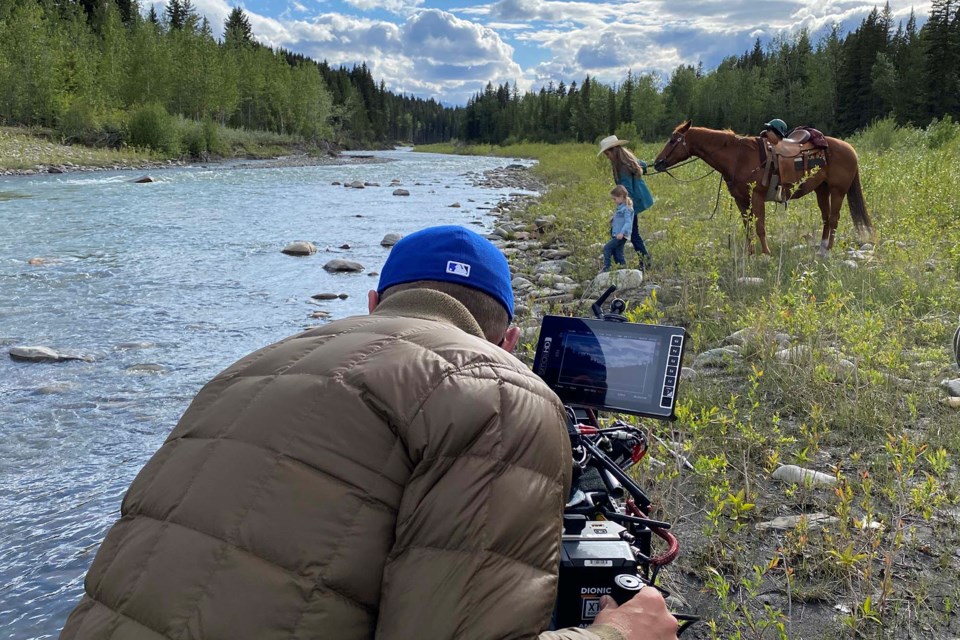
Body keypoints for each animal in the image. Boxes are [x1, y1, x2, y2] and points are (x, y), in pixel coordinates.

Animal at [656, 121, 872, 256]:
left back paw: (828, 250)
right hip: (822, 189)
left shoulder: (757, 196)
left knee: (834, 219)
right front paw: (750, 253)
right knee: (826, 219)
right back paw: (821, 248)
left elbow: (760, 227)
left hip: (838, 190)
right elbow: (748, 226)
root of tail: (850, 149)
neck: (738, 157)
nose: (657, 163)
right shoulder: (740, 199)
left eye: (673, 140)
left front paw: (766, 253)